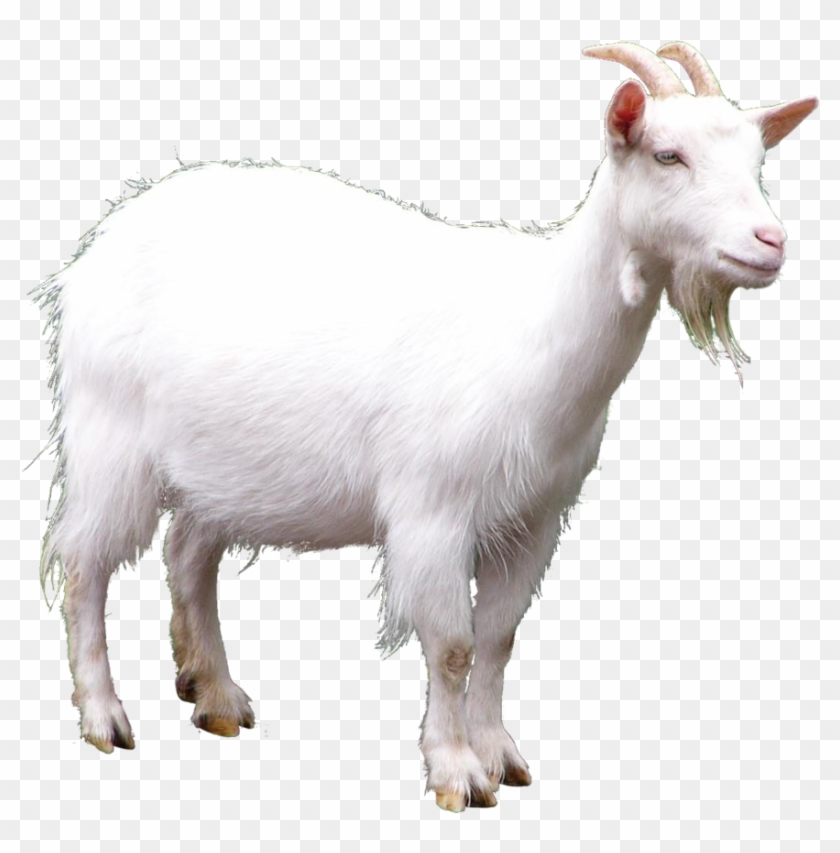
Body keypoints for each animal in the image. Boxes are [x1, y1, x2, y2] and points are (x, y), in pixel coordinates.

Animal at [32, 42, 816, 811]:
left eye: (757, 161)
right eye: (666, 155)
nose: (770, 242)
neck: (536, 321)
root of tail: (104, 239)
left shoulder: (534, 517)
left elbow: (498, 638)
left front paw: (500, 755)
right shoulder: (434, 510)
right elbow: (452, 646)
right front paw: (455, 771)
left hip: (220, 464)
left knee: (189, 556)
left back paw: (217, 696)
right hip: (109, 436)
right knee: (84, 564)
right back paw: (104, 715)